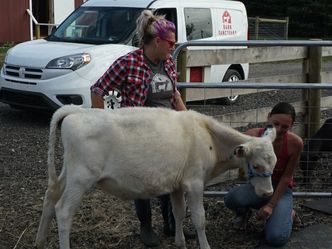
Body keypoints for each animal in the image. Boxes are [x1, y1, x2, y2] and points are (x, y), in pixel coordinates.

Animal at [35, 105, 276, 249]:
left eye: (274, 163)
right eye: (256, 165)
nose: (268, 193)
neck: (207, 136)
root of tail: (75, 111)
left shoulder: (178, 185)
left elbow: (179, 213)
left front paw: (179, 242)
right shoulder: (194, 182)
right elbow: (199, 218)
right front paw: (204, 245)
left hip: (69, 172)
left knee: (50, 196)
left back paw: (40, 241)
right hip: (81, 177)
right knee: (63, 210)